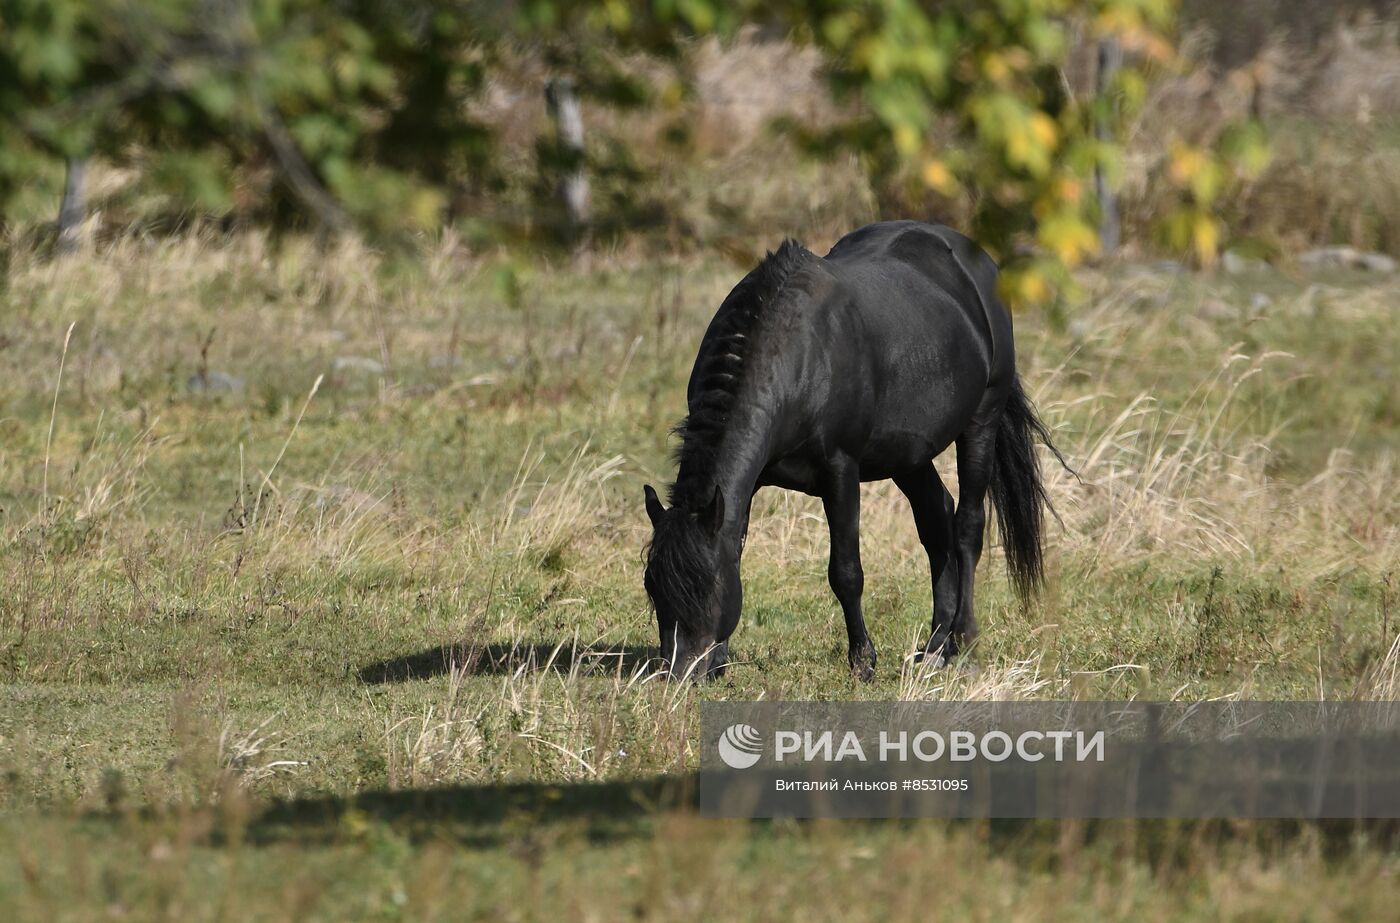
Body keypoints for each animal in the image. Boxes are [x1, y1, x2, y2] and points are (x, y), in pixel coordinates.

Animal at [641, 217, 1058, 677]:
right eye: (652, 588)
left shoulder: (840, 471)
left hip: (981, 420)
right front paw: (720, 660)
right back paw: (934, 645)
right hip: (908, 455)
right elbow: (736, 545)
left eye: (705, 586)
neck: (799, 358)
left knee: (967, 526)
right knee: (937, 521)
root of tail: (978, 262)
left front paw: (862, 660)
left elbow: (846, 572)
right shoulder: (748, 484)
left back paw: (962, 641)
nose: (679, 673)